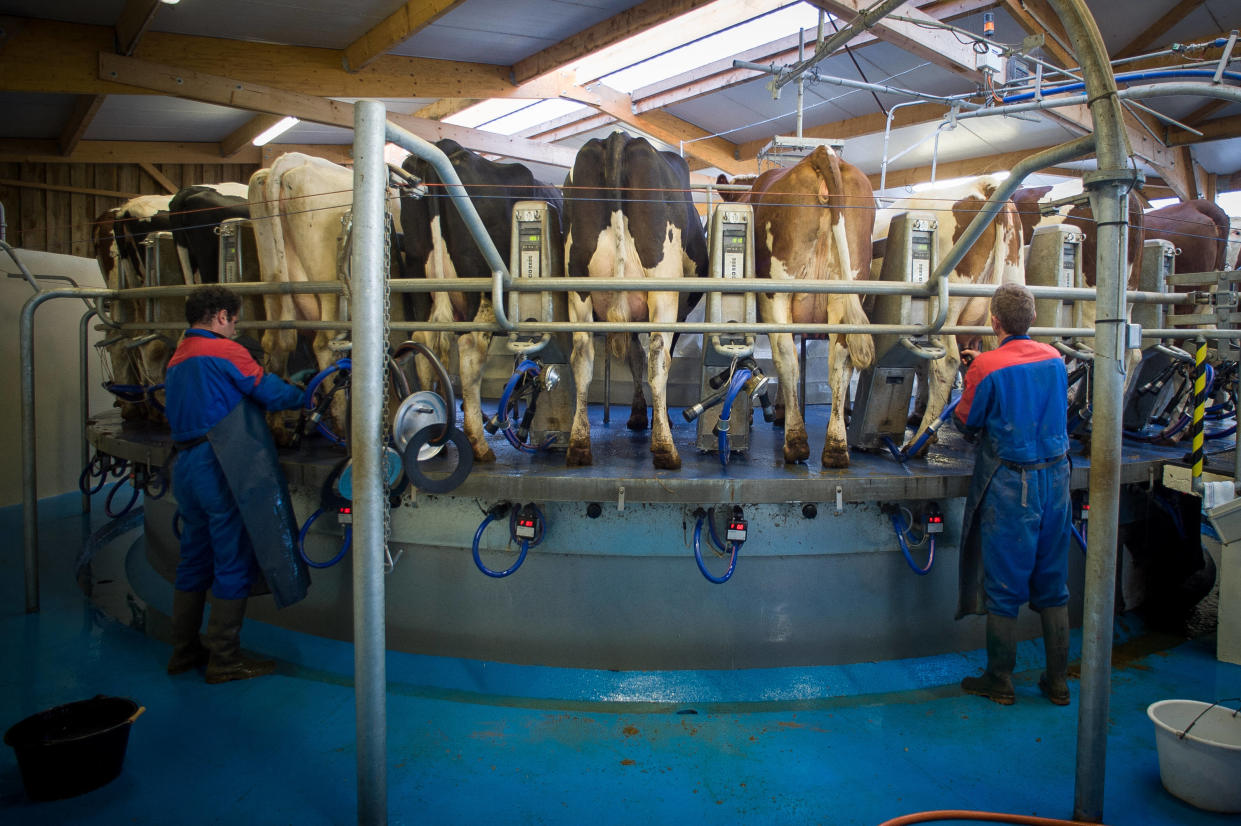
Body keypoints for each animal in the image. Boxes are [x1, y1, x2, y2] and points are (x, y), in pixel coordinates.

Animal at [734, 145, 873, 466]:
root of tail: (821, 153)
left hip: (777, 292)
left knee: (786, 357)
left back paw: (796, 442)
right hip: (847, 289)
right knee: (841, 361)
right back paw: (836, 448)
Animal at [883, 173, 1027, 446]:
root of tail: (984, 183)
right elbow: (920, 364)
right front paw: (918, 410)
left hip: (947, 308)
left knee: (947, 362)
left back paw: (921, 442)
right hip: (1010, 280)